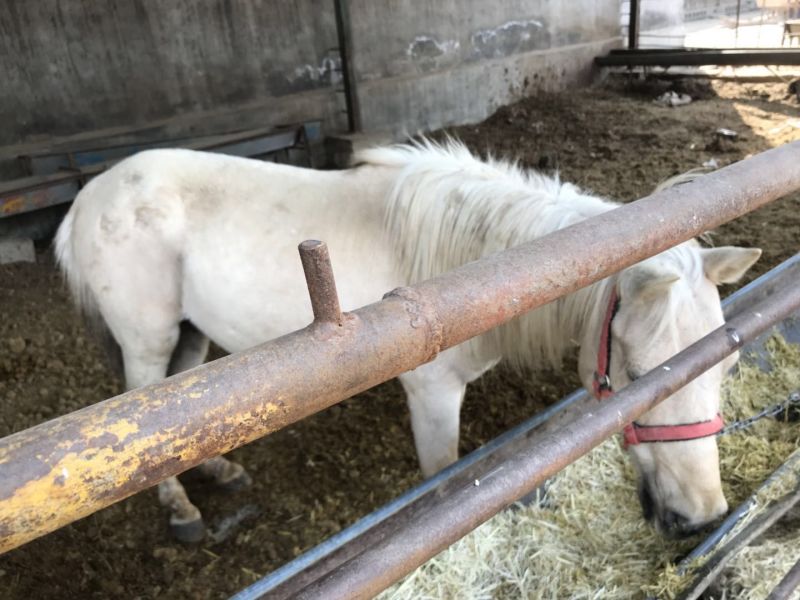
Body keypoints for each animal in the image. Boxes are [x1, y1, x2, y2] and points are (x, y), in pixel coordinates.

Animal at [54, 140, 761, 541]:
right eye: (638, 372)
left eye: (725, 367)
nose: (702, 517)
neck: (479, 274)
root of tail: (87, 198)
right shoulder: (432, 394)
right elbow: (443, 479)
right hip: (148, 342)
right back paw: (182, 512)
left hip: (193, 341)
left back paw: (220, 471)